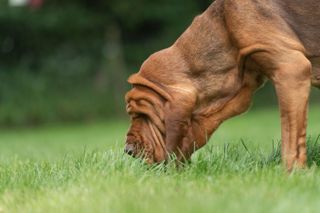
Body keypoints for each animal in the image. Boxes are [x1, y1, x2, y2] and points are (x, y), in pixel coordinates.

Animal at [124, 0, 320, 170]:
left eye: (139, 115)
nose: (128, 151)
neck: (225, 28)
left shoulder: (291, 69)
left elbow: (290, 137)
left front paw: (291, 173)